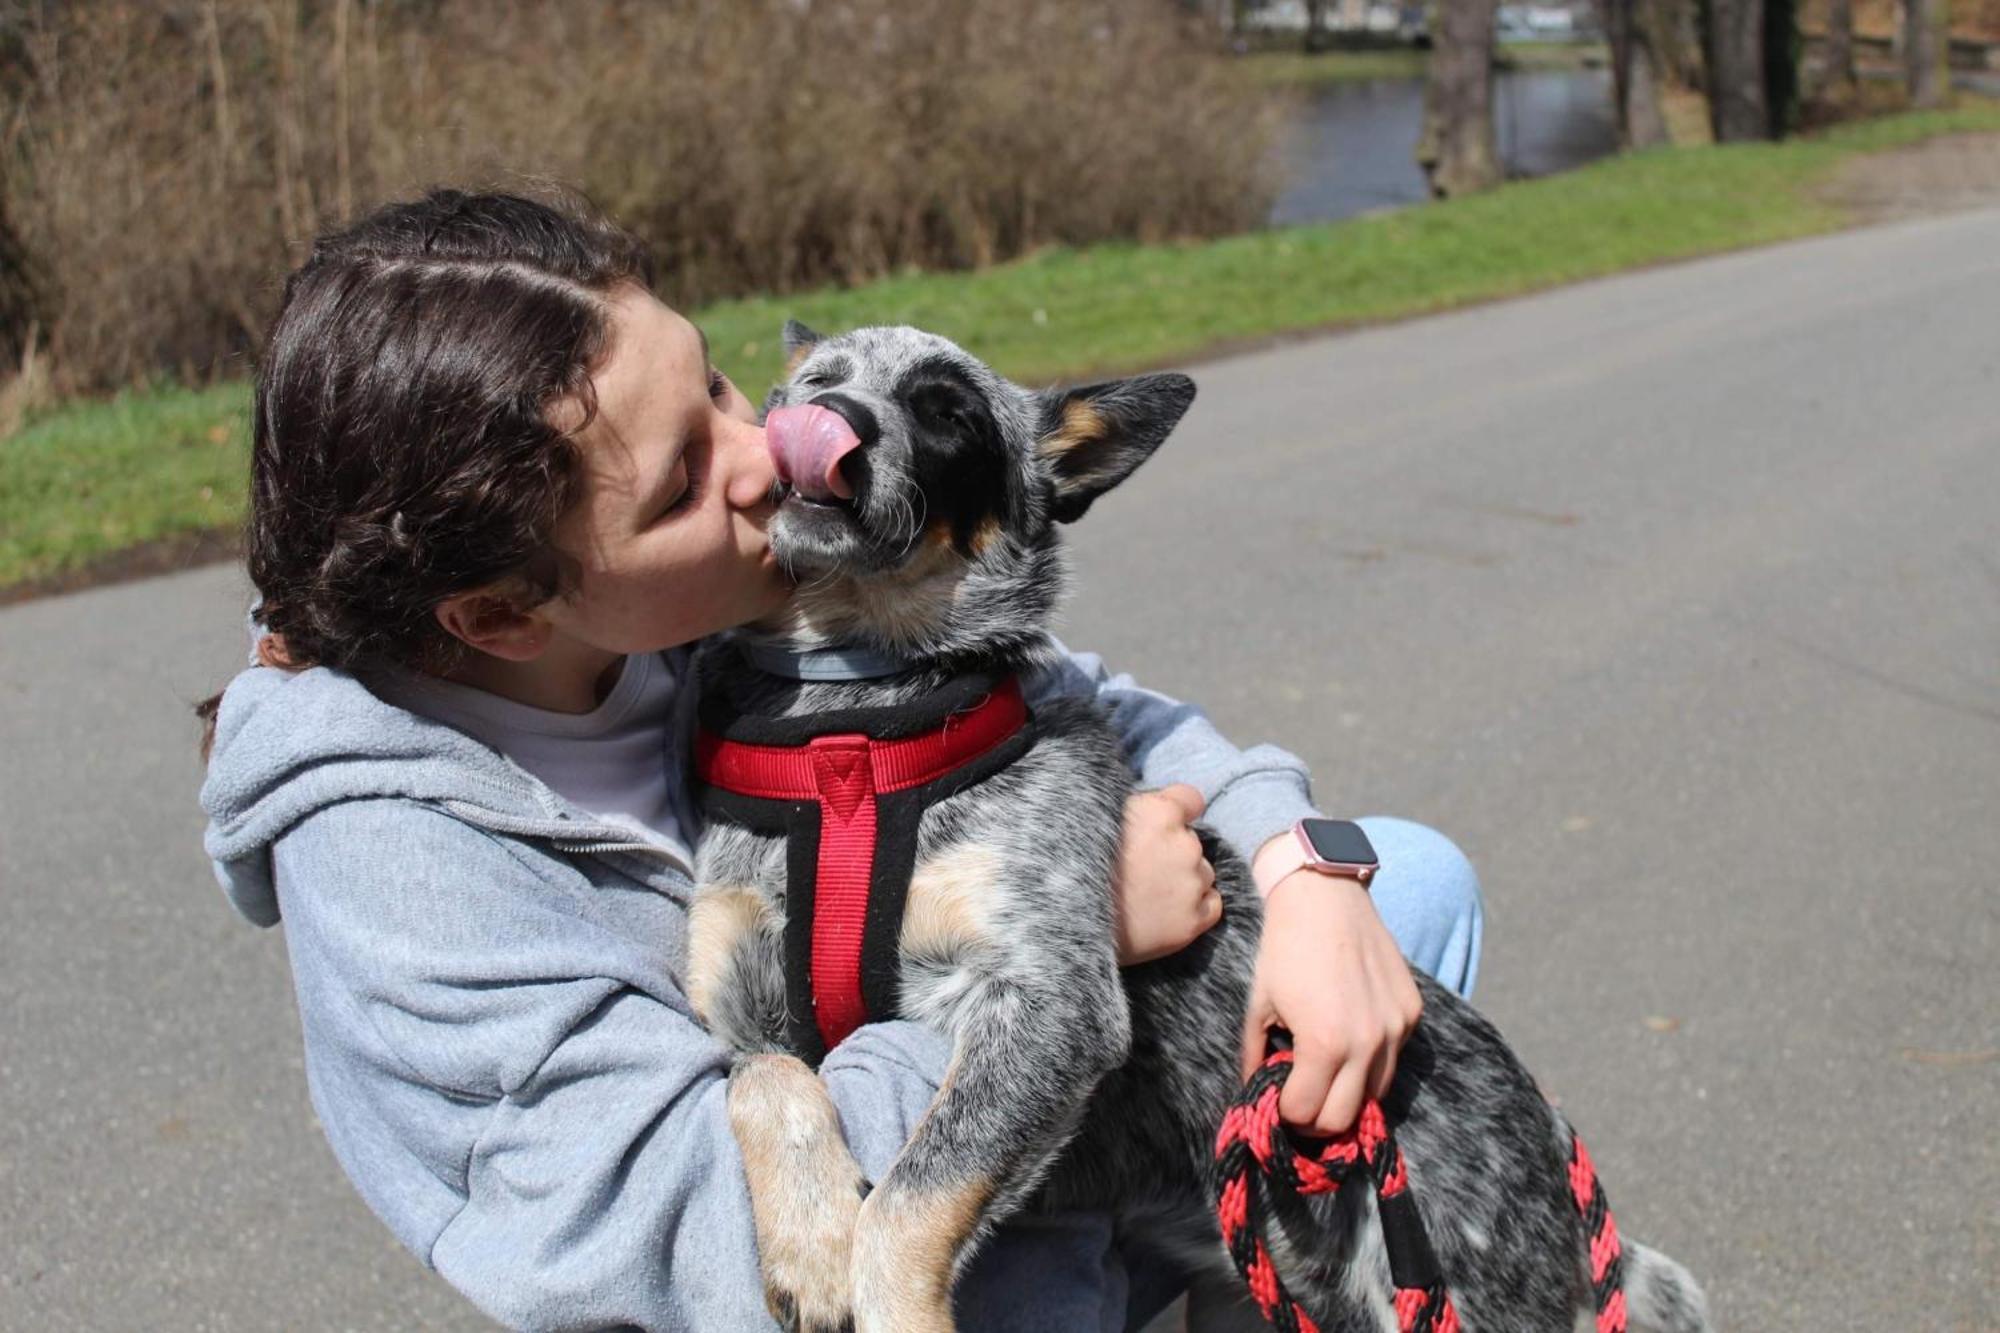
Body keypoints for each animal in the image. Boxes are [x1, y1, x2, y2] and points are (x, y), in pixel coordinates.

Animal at [680, 320, 1712, 1328]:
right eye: (817, 380)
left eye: (949, 412)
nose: (833, 420)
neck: (850, 731)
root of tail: (1553, 1145)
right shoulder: (739, 1000)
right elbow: (763, 1081)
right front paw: (813, 1240)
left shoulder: (1052, 1004)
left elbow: (907, 1201)